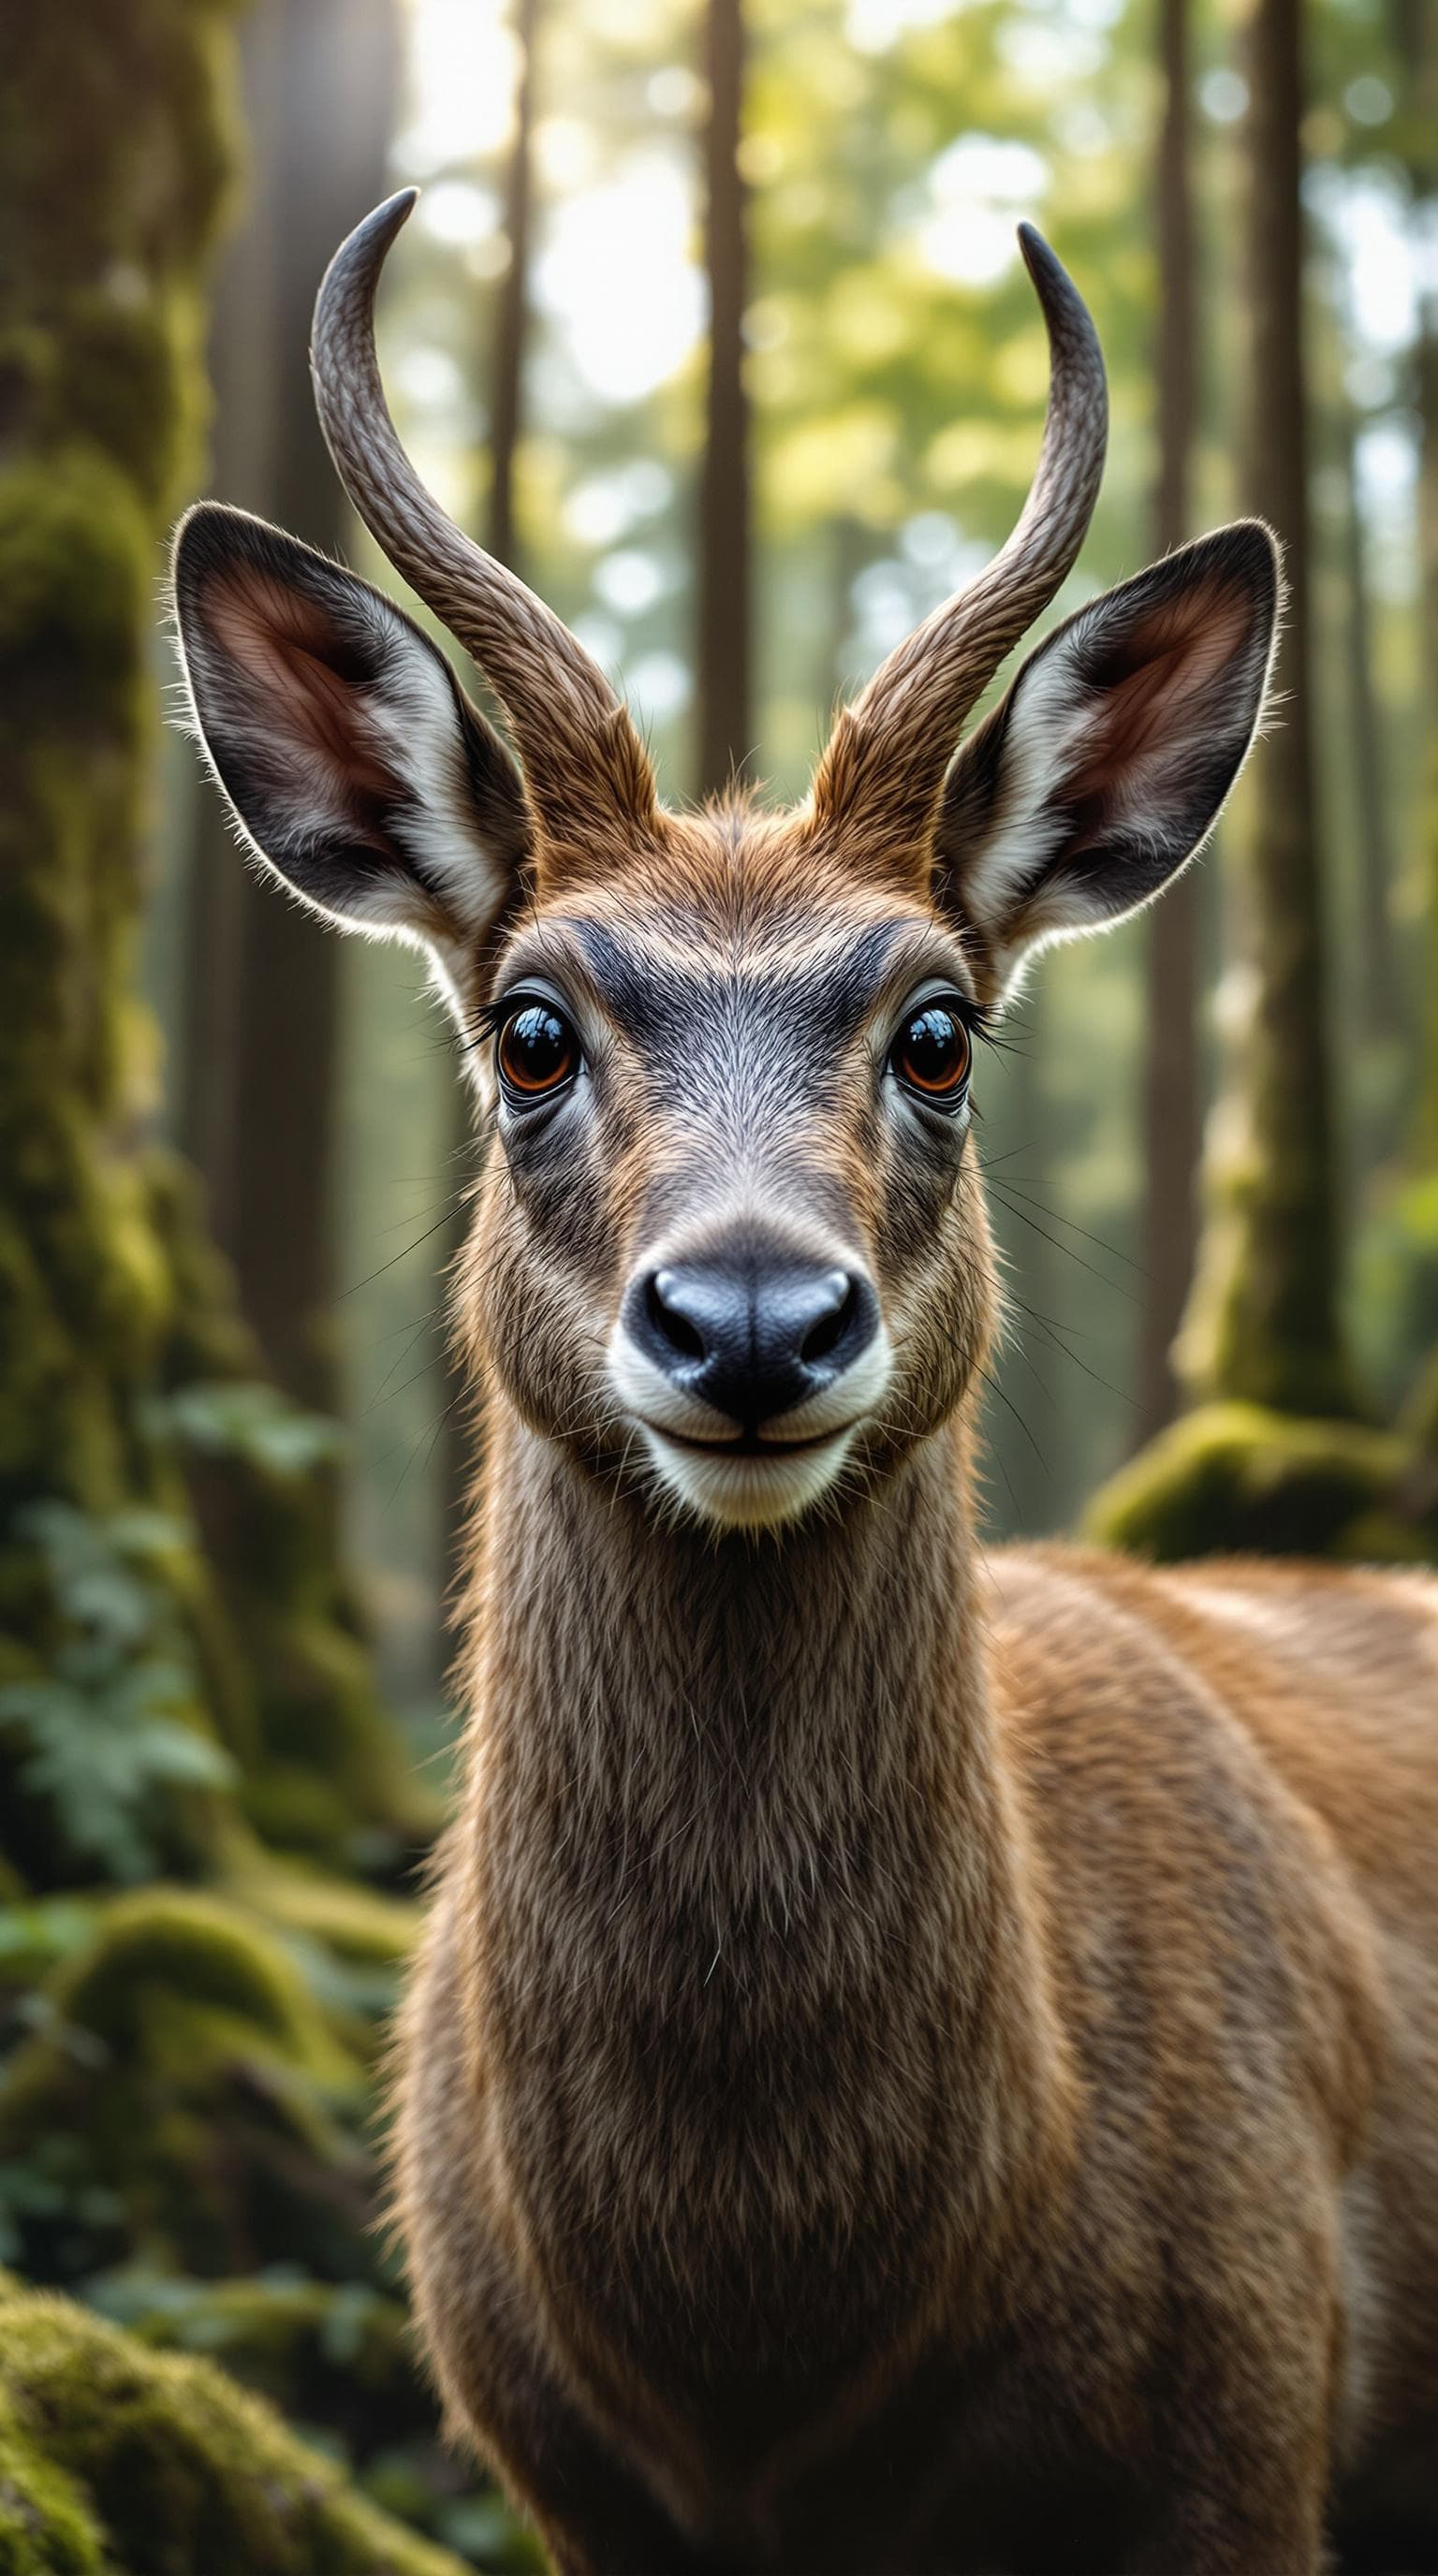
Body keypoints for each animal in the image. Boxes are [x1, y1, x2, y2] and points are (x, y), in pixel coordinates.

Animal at [172, 189, 1438, 2576]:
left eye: (936, 1025)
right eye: (531, 1024)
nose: (754, 1319)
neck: (778, 2358)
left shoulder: (1245, 2435)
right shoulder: (570, 2482)